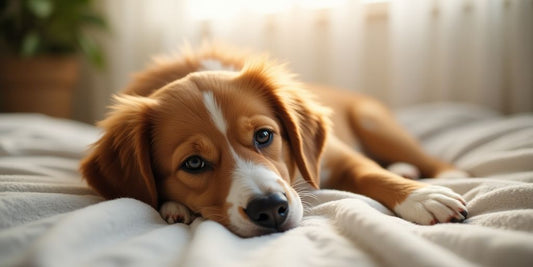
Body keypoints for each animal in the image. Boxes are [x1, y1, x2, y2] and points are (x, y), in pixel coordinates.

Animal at [79, 46, 466, 239]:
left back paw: (438, 176)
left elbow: (370, 173)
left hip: (375, 123)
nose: (269, 209)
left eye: (263, 135)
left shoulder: (335, 158)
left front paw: (422, 197)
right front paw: (174, 207)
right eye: (193, 163)